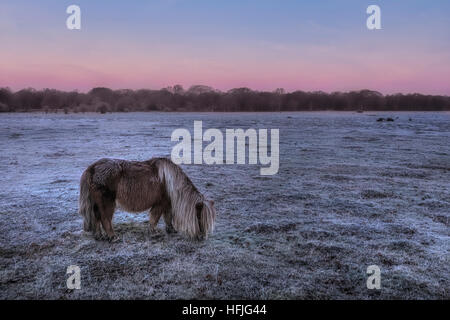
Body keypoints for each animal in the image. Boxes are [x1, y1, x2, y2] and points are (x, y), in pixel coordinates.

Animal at [78, 156, 215, 241]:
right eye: (199, 217)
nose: (202, 237)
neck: (170, 181)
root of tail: (92, 168)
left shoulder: (167, 204)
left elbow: (168, 217)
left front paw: (171, 230)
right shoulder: (160, 204)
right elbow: (155, 218)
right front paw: (153, 232)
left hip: (97, 204)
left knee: (96, 218)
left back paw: (99, 236)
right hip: (107, 203)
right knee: (105, 219)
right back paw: (113, 237)